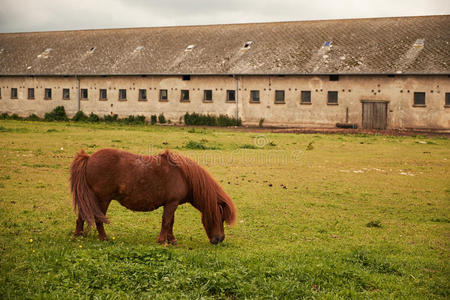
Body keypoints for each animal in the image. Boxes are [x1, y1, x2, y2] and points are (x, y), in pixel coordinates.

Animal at [69, 148, 236, 244]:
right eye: (220, 218)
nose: (219, 239)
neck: (184, 175)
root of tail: (89, 158)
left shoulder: (172, 203)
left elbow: (171, 222)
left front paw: (172, 239)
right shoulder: (171, 203)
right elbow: (166, 221)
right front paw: (162, 241)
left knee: (83, 215)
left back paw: (78, 234)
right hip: (102, 199)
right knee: (99, 218)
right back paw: (103, 238)